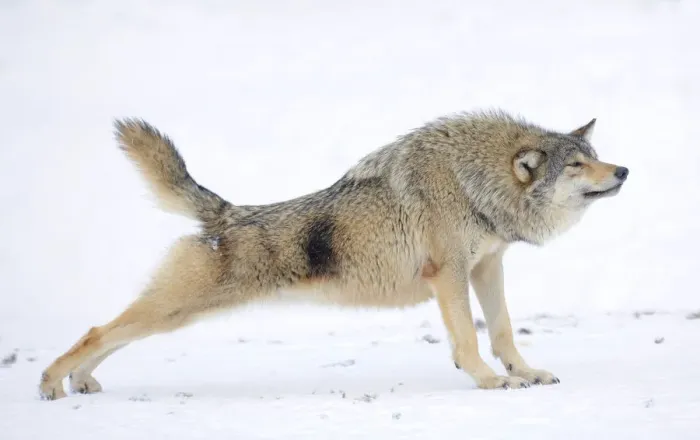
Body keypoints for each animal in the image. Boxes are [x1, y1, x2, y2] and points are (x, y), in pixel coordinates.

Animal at [39, 110, 628, 399]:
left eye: (595, 156)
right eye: (576, 165)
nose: (623, 170)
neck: (472, 184)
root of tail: (225, 213)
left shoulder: (487, 265)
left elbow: (503, 331)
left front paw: (524, 373)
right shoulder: (449, 274)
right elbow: (468, 340)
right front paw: (488, 381)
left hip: (170, 315)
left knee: (107, 336)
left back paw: (81, 383)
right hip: (174, 311)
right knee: (96, 331)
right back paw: (50, 385)